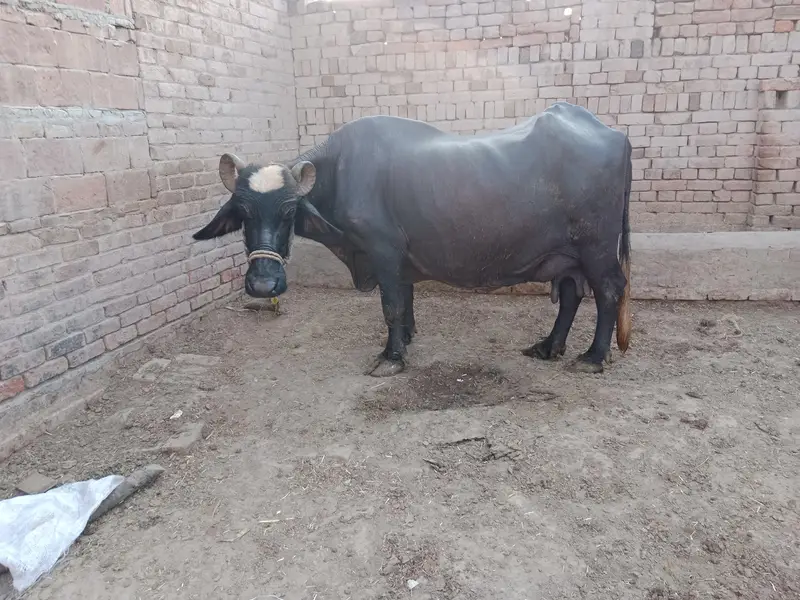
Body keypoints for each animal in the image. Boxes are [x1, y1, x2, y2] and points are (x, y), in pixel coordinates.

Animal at [193, 101, 632, 377]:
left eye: (288, 210)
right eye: (243, 213)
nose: (263, 284)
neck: (341, 170)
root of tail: (612, 134)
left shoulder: (383, 250)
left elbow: (390, 306)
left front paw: (391, 357)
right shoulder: (401, 259)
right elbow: (405, 301)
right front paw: (405, 338)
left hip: (596, 249)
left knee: (610, 290)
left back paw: (593, 357)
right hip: (567, 253)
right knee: (572, 294)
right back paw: (548, 346)